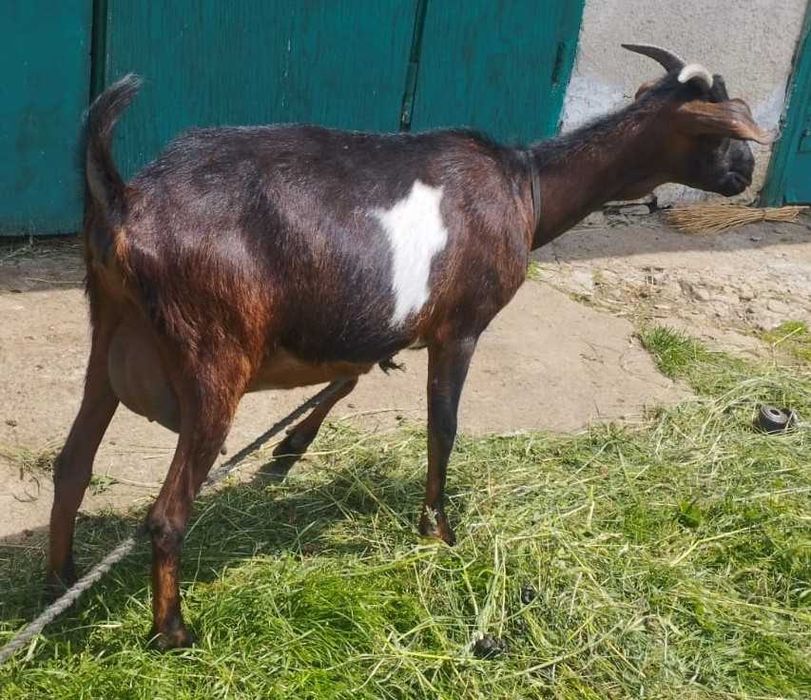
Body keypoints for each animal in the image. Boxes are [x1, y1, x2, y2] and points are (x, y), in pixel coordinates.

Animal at [46, 44, 770, 649]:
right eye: (719, 133)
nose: (745, 173)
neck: (526, 187)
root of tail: (126, 202)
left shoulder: (373, 323)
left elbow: (348, 376)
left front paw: (288, 449)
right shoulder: (462, 327)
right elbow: (441, 425)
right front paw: (439, 530)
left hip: (107, 332)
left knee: (72, 464)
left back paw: (61, 579)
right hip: (213, 355)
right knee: (167, 514)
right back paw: (172, 631)